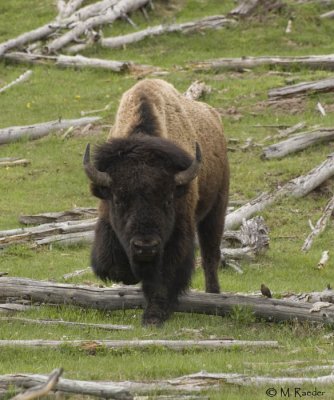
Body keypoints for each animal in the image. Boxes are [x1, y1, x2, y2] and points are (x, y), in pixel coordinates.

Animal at [83, 78, 230, 324]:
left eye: (168, 199)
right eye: (118, 200)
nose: (145, 246)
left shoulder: (178, 233)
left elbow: (165, 277)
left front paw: (153, 316)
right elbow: (114, 267)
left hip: (217, 207)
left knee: (210, 254)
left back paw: (214, 295)